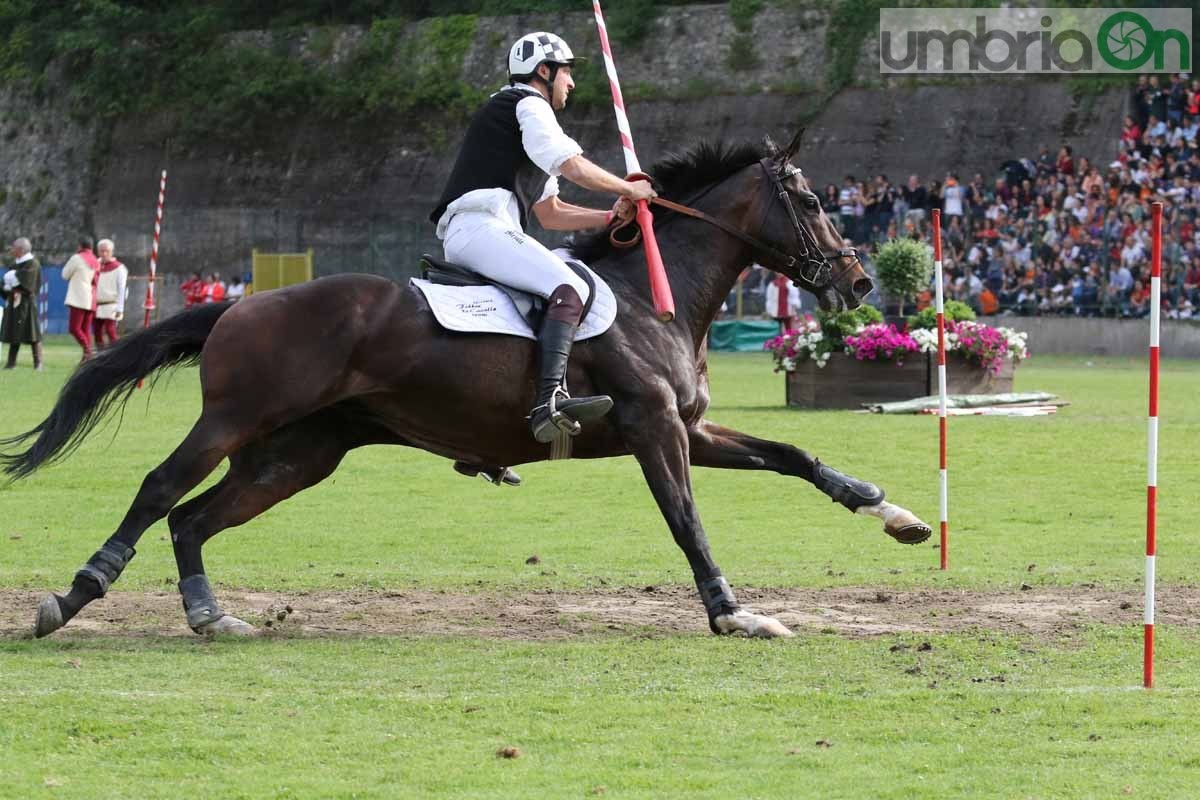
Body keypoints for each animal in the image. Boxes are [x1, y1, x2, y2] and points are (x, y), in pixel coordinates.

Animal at [2, 134, 926, 642]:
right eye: (810, 200)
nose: (858, 280)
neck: (653, 293)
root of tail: (241, 301)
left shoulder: (690, 430)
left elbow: (796, 454)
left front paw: (892, 511)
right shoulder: (655, 430)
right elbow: (687, 523)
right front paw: (732, 611)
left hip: (292, 456)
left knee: (194, 520)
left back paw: (208, 614)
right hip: (236, 420)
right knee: (161, 490)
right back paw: (75, 594)